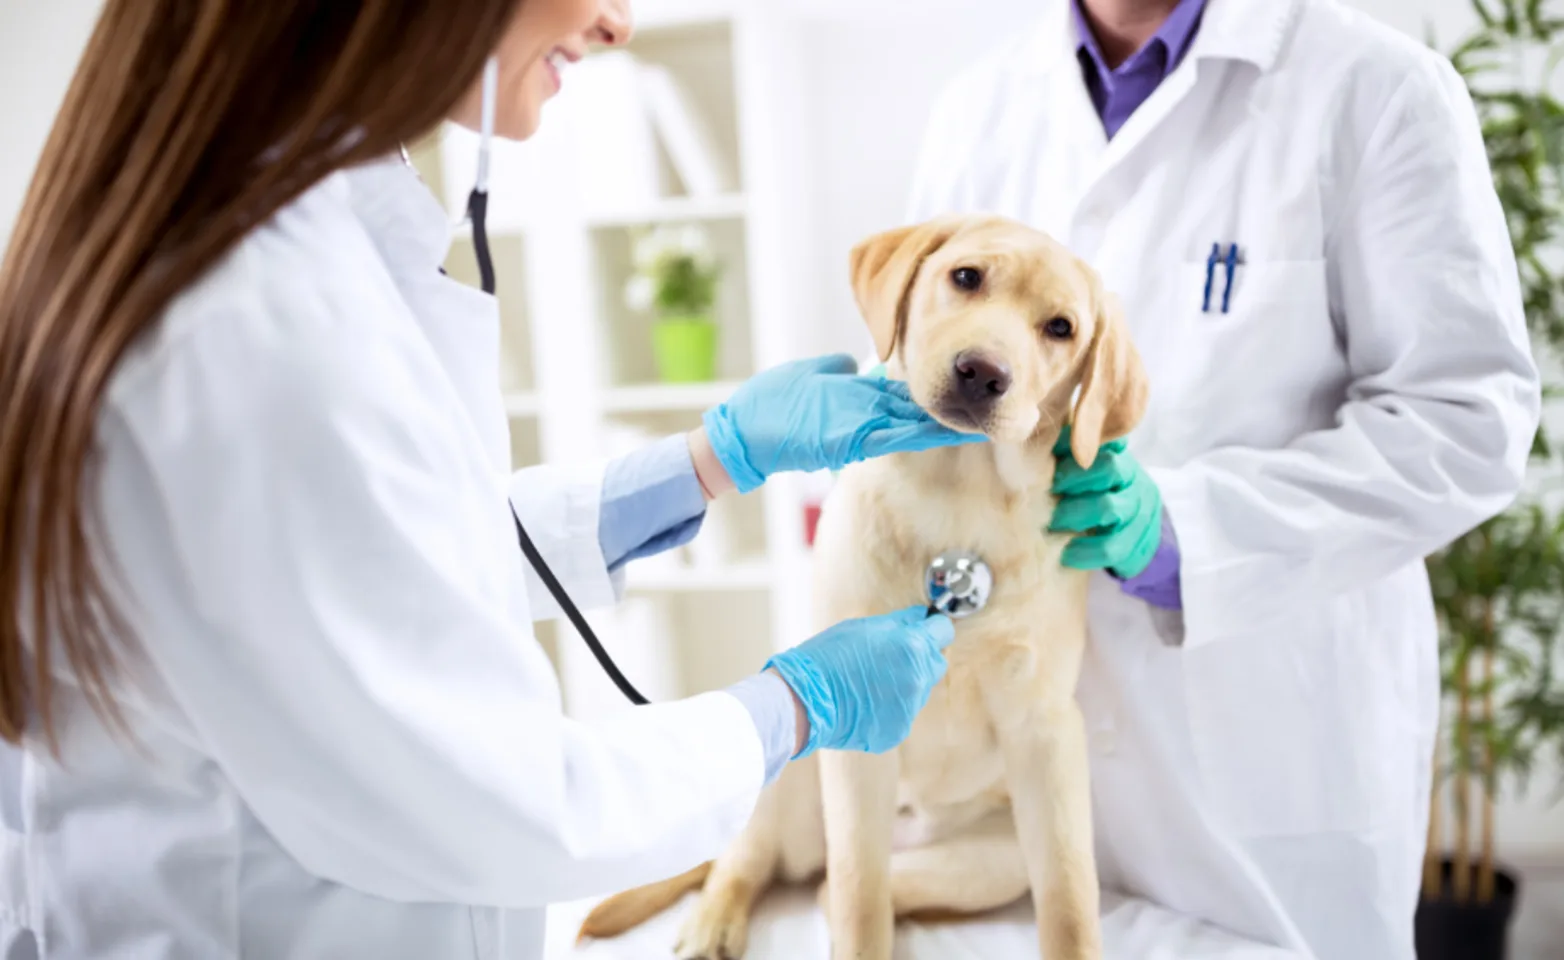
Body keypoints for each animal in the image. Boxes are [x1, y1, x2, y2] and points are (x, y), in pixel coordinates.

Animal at [575, 218, 1151, 960]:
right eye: (966, 277)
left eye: (1061, 328)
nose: (983, 372)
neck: (960, 498)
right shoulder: (853, 745)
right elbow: (858, 897)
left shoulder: (1047, 737)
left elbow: (1071, 904)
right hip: (795, 769)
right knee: (759, 863)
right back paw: (713, 922)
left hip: (994, 859)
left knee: (835, 888)